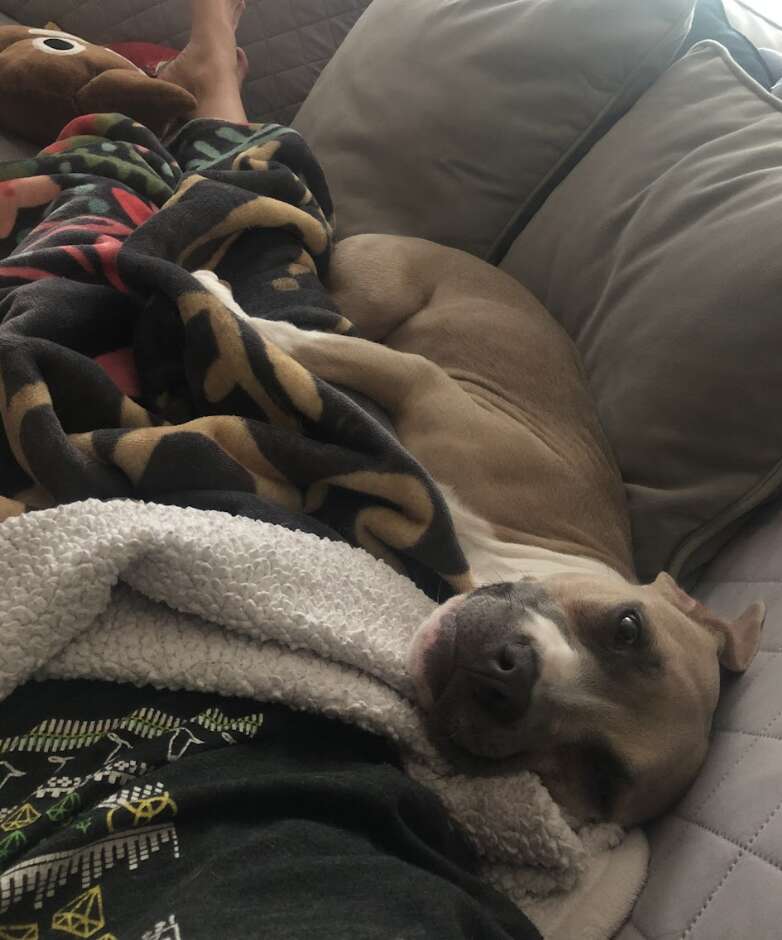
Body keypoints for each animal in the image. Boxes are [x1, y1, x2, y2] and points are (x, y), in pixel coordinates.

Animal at [194, 233, 764, 824]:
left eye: (600, 778)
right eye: (628, 628)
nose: (507, 679)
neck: (501, 554)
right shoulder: (417, 378)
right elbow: (299, 341)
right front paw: (215, 294)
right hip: (376, 295)